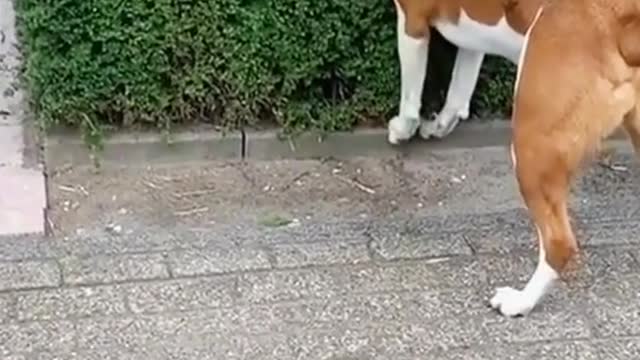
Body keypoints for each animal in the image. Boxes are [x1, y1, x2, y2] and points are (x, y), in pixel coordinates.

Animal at [384, 0, 544, 143]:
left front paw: (402, 130)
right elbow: (457, 94)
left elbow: (409, 98)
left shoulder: (412, 23)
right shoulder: (473, 41)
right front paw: (438, 126)